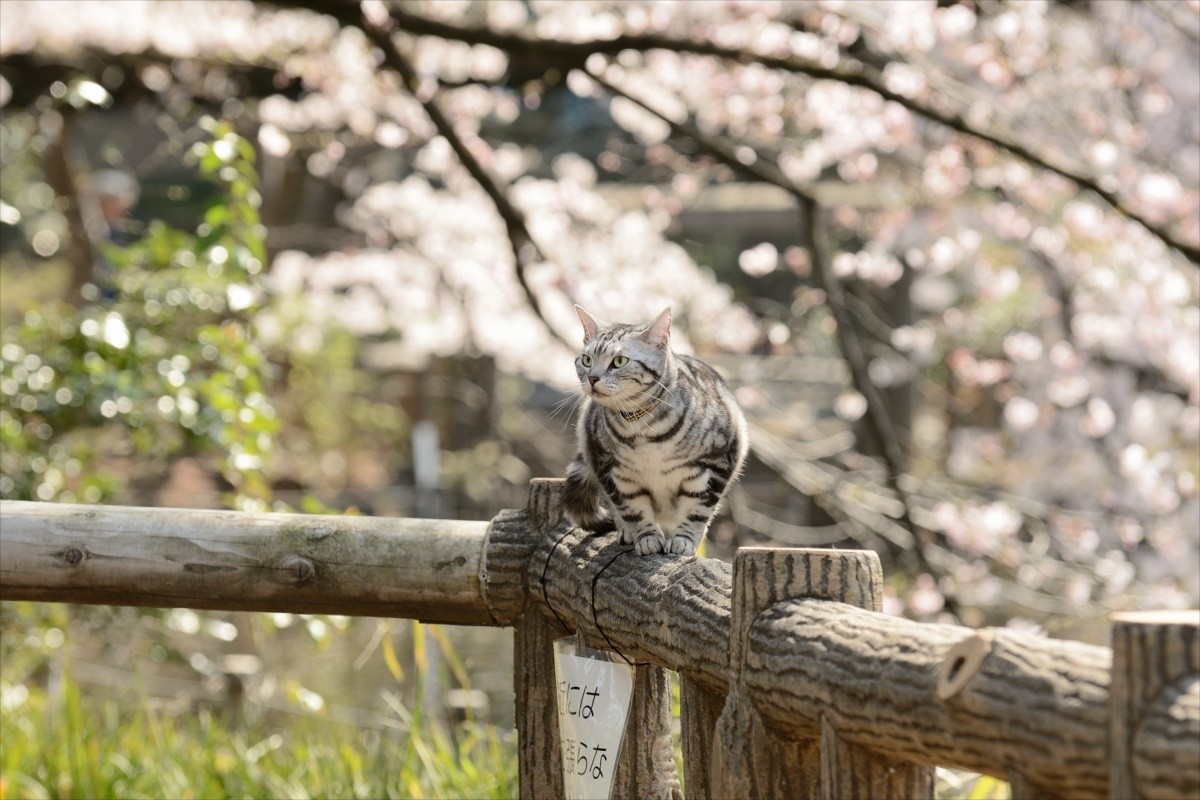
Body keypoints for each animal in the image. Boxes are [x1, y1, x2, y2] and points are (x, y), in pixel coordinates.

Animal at [564, 304, 748, 556]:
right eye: (586, 359)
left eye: (619, 361)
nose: (592, 378)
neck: (641, 429)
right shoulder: (613, 471)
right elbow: (633, 510)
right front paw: (646, 538)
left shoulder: (716, 463)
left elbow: (697, 510)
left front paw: (683, 541)